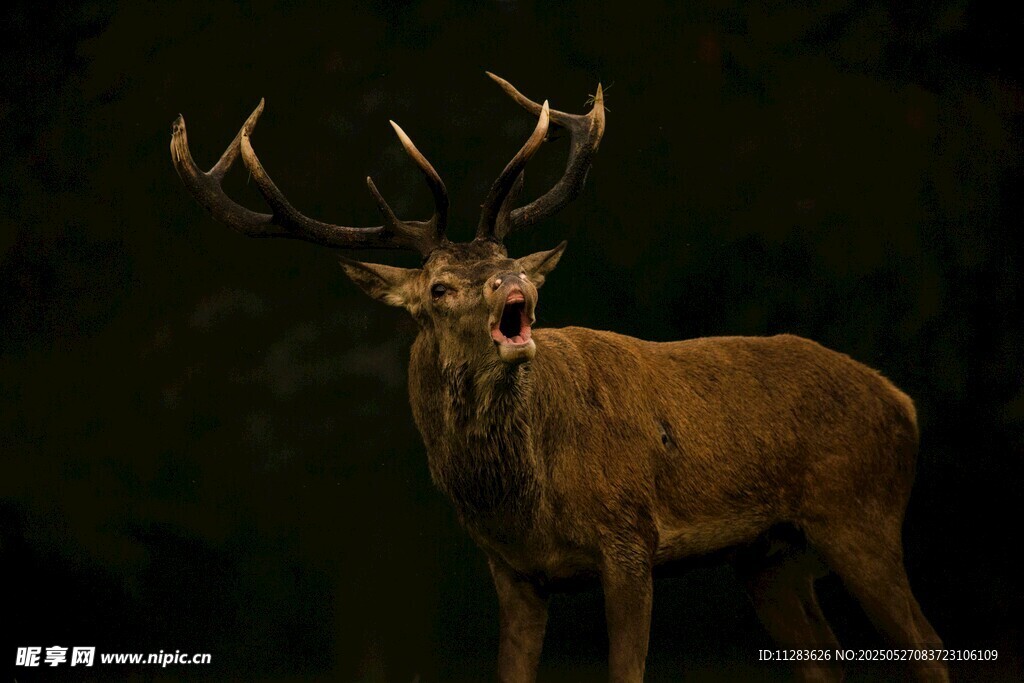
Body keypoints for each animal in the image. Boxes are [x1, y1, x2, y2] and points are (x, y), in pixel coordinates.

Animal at [170, 73, 948, 682]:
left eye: (510, 258)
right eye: (440, 288)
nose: (515, 284)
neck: (524, 499)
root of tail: (904, 402)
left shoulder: (630, 536)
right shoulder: (512, 572)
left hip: (861, 514)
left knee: (929, 649)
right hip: (769, 558)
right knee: (828, 657)